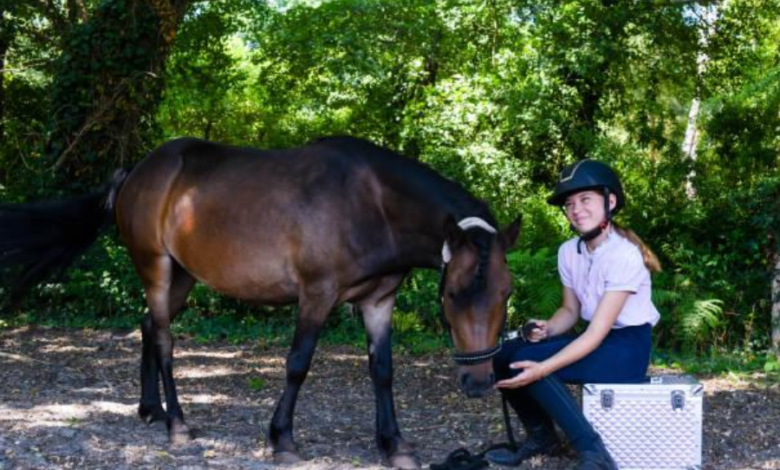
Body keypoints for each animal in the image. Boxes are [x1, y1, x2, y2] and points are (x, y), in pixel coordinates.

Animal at [4, 136, 524, 466]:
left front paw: (393, 445)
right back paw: (178, 425)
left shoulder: (380, 300)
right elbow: (297, 364)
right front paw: (282, 439)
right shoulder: (316, 295)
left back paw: (151, 409)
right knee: (166, 340)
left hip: (183, 277)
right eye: (453, 294)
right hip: (156, 268)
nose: (480, 383)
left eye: (506, 292)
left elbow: (382, 371)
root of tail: (139, 169)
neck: (373, 203)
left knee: (149, 327)